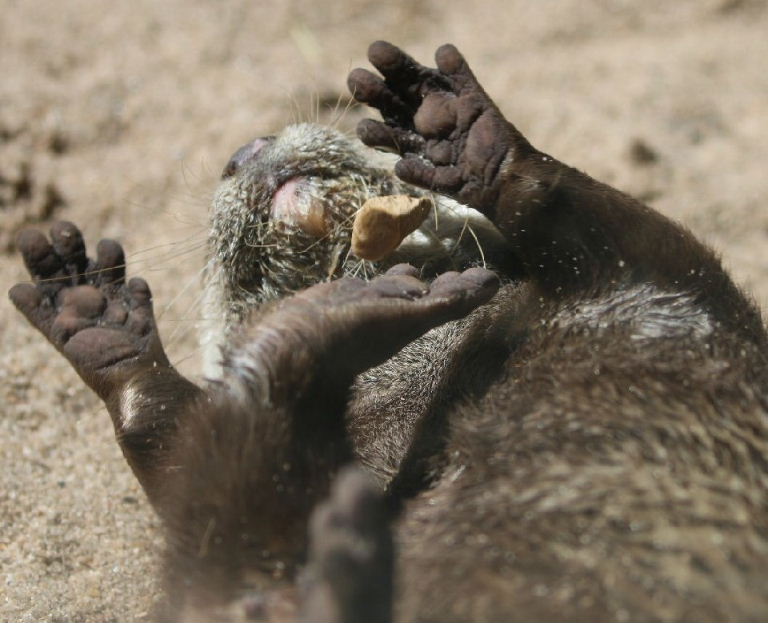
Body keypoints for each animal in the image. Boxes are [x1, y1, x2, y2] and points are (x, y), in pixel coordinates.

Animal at [10, 41, 768, 622]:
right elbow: (173, 456)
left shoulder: (680, 286)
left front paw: (463, 133)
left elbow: (598, 221)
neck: (419, 374)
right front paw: (102, 322)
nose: (248, 148)